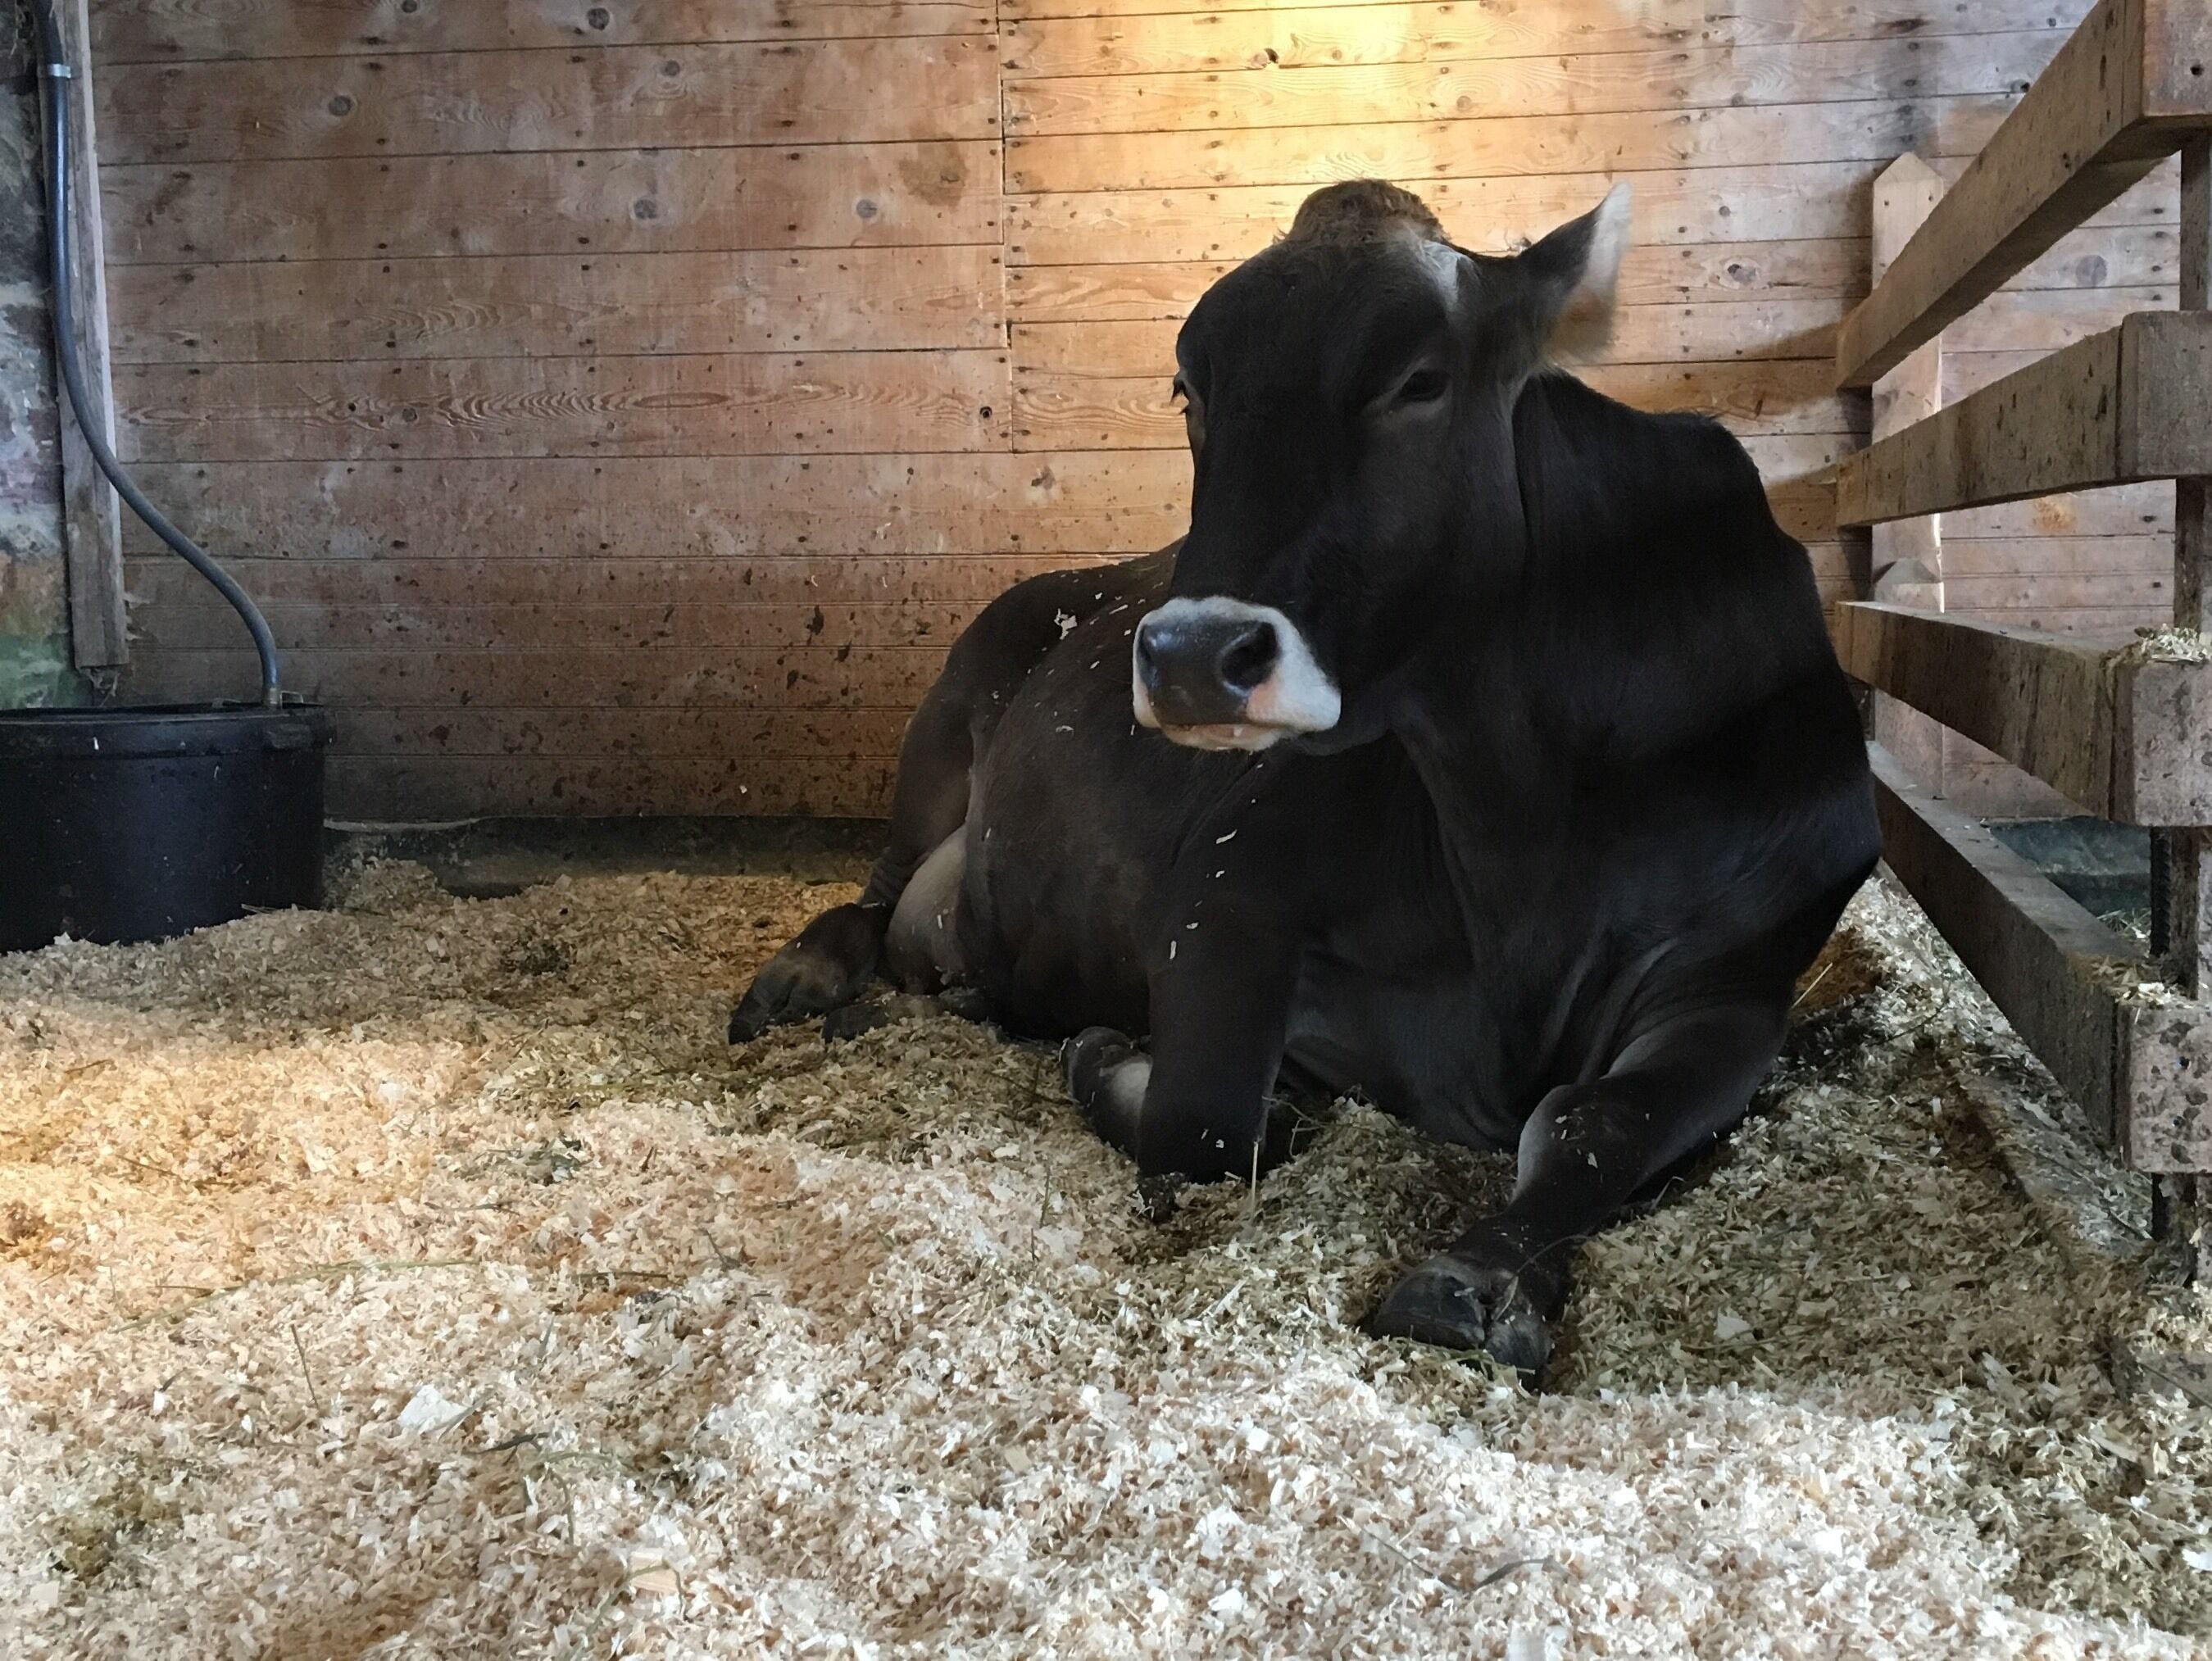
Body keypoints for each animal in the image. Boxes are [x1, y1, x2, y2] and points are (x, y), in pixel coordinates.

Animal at [730, 179, 1880, 1376]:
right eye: (1188, 389)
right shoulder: (1224, 892)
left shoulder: (1732, 978)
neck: (1520, 845)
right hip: (950, 709)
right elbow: (1208, 1119)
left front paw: (1476, 1273)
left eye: (1419, 380)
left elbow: (1589, 1122)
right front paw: (1110, 1053)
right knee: (872, 892)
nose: (1189, 653)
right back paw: (803, 979)